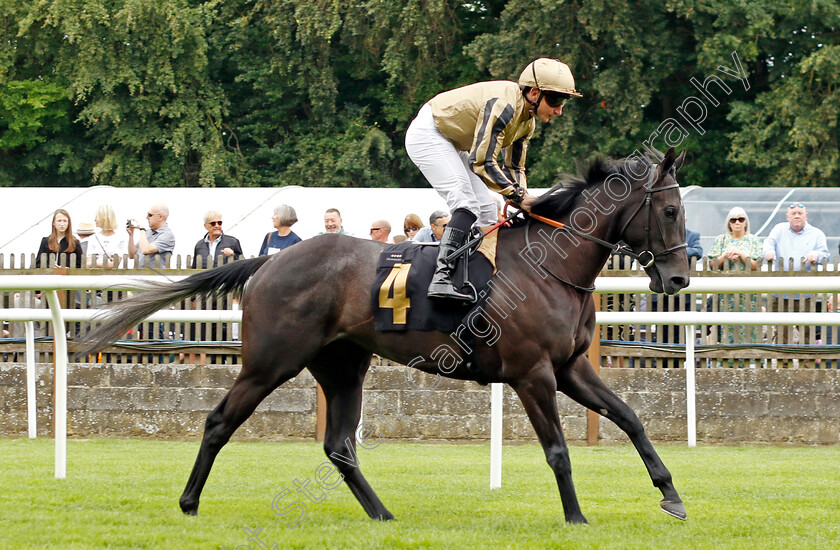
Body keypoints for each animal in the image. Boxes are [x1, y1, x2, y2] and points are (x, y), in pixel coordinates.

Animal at [82, 147, 688, 528]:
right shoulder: (532, 373)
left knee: (339, 445)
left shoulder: (570, 368)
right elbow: (559, 450)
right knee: (218, 421)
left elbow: (631, 418)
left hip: (342, 365)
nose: (679, 279)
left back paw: (381, 513)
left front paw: (672, 496)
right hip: (270, 362)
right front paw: (576, 516)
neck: (549, 265)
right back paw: (188, 502)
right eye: (669, 209)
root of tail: (267, 261)